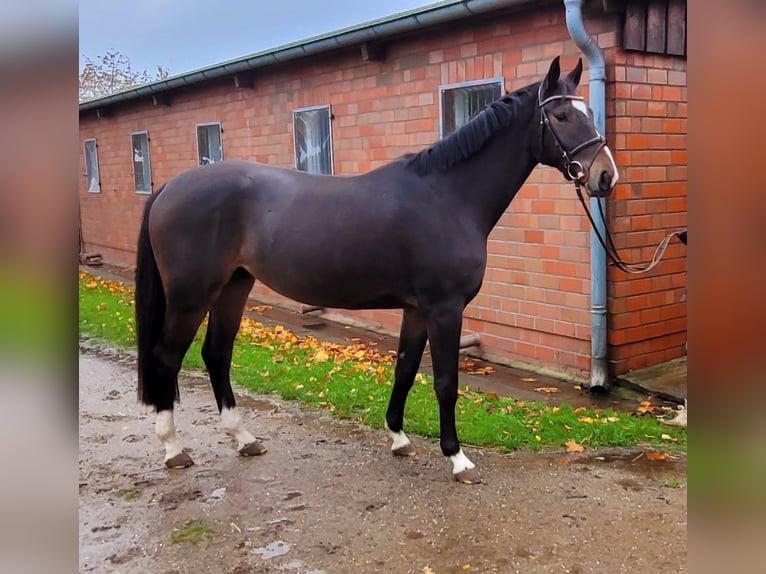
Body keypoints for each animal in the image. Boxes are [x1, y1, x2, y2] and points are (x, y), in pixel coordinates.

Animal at [135, 56, 618, 483]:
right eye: (561, 115)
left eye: (589, 113)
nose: (605, 176)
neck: (448, 196)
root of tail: (169, 187)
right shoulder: (444, 308)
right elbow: (446, 381)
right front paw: (457, 458)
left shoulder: (417, 309)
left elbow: (405, 369)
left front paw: (399, 437)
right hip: (191, 295)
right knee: (167, 357)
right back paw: (173, 448)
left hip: (234, 286)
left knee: (216, 354)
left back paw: (244, 438)